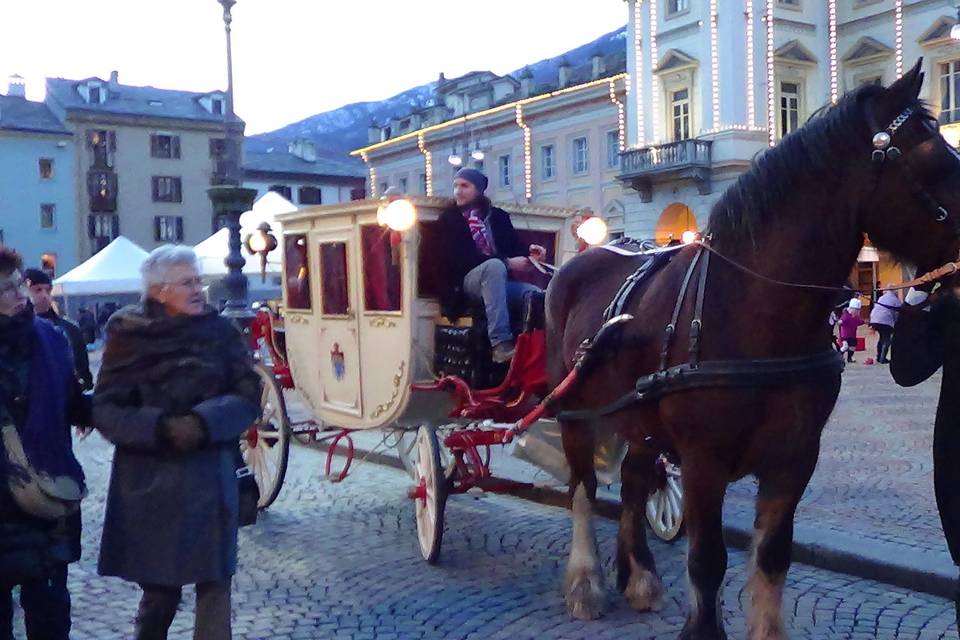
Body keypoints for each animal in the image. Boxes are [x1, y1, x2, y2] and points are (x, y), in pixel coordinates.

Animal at [544, 61, 960, 640]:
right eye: (933, 155)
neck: (753, 306)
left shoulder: (794, 457)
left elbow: (772, 557)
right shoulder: (703, 460)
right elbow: (707, 560)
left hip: (638, 419)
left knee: (632, 486)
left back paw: (640, 576)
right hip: (575, 413)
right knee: (582, 490)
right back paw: (585, 584)